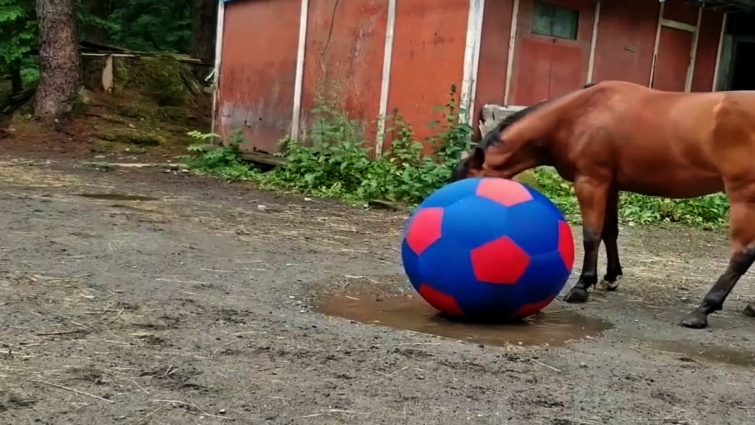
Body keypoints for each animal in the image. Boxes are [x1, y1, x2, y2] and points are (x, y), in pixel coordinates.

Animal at [450, 80, 755, 329]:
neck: (577, 114)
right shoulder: (611, 185)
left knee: (743, 254)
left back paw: (704, 309)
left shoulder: (591, 182)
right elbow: (610, 231)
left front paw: (583, 285)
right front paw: (611, 276)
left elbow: (591, 235)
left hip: (744, 196)